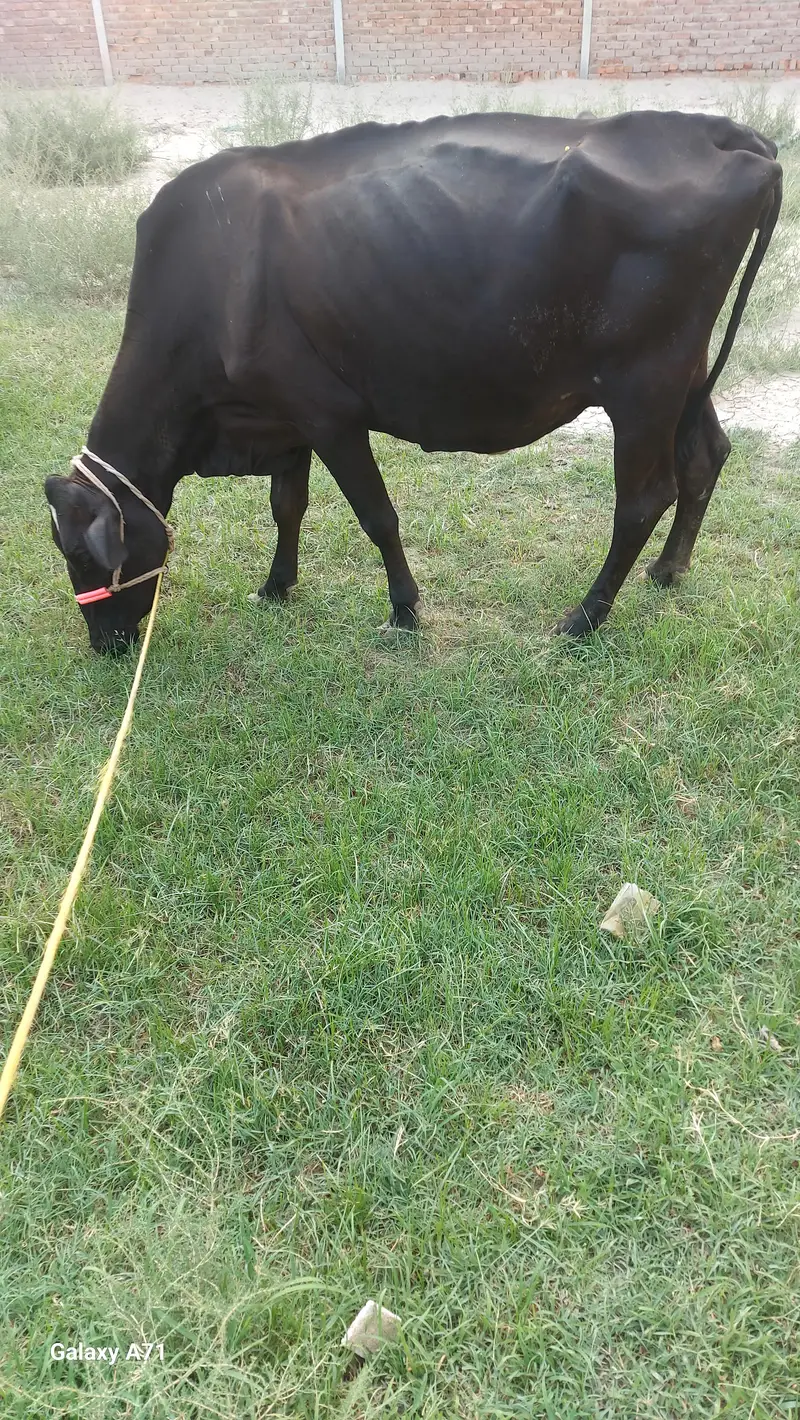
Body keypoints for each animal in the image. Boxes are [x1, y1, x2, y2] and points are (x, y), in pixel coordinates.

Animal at [44, 109, 781, 654]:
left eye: (79, 553)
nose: (105, 645)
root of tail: (723, 134)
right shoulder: (281, 413)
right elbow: (287, 505)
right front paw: (277, 586)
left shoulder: (328, 412)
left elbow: (376, 515)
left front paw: (404, 609)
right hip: (685, 374)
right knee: (706, 457)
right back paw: (668, 570)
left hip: (642, 385)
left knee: (642, 499)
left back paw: (583, 618)